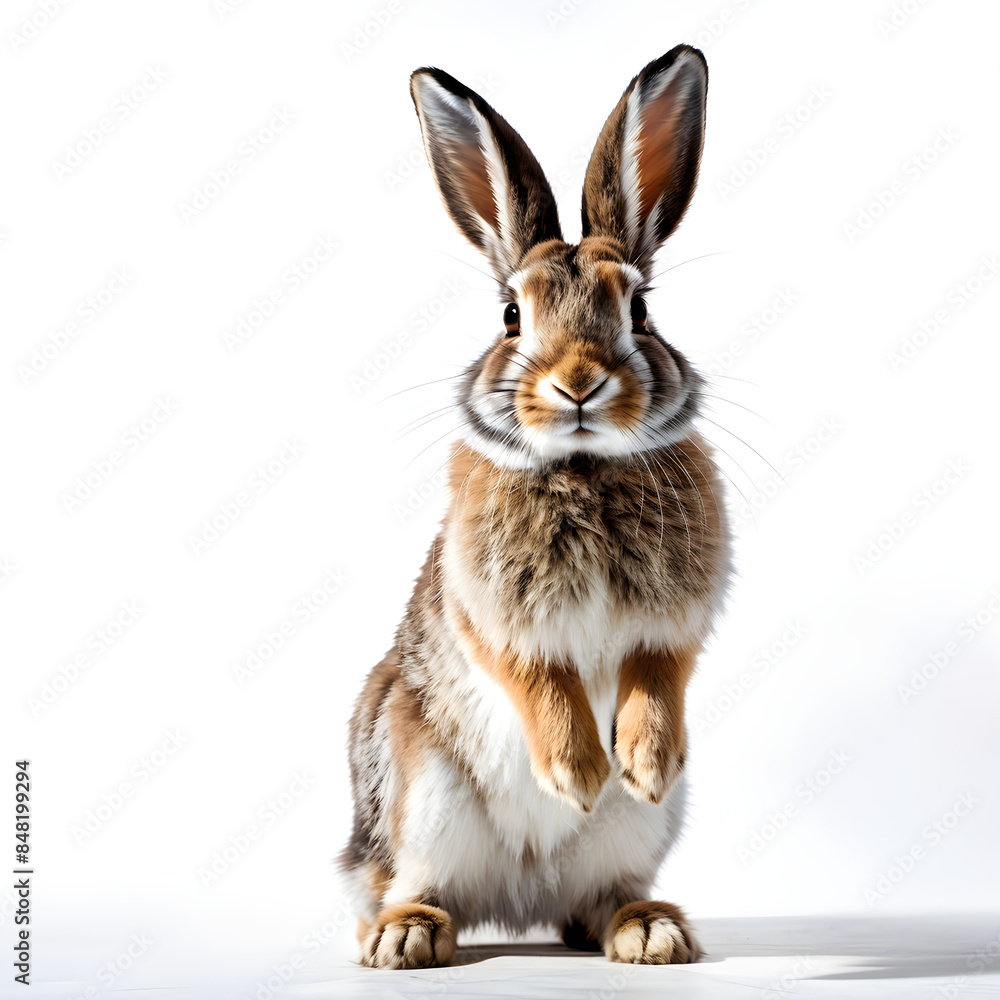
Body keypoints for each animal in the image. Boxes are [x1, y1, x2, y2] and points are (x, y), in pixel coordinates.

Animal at [340, 44, 732, 969]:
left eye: (640, 308)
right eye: (512, 314)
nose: (579, 382)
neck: (583, 468)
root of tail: (516, 900)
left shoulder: (675, 622)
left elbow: (658, 671)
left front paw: (642, 762)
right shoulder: (487, 611)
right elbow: (537, 676)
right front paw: (578, 774)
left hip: (631, 841)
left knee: (598, 899)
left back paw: (649, 930)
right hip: (414, 784)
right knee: (400, 887)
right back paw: (408, 937)